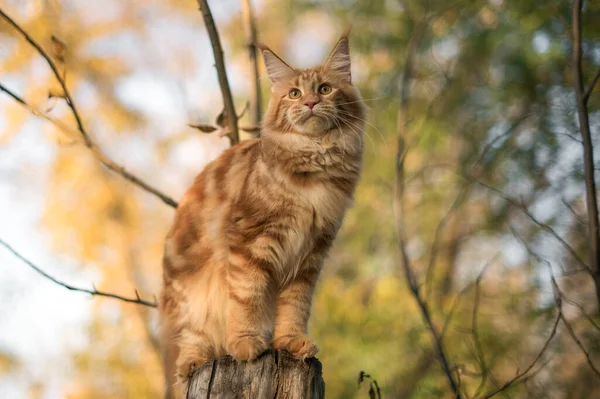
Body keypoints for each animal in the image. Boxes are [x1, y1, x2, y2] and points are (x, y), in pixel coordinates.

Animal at [159, 29, 366, 398]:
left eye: (325, 89)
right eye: (295, 94)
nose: (309, 103)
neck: (314, 163)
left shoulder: (311, 255)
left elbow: (295, 306)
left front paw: (291, 341)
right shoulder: (249, 243)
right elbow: (248, 297)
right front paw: (246, 342)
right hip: (188, 295)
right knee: (190, 341)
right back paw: (195, 360)